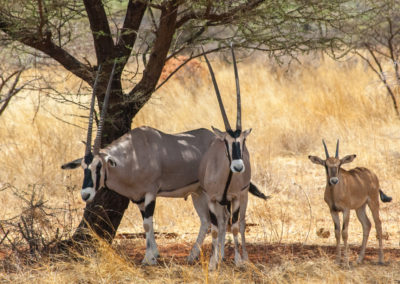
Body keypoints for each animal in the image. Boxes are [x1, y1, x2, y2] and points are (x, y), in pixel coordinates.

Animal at [62, 59, 268, 264]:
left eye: (98, 166)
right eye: (83, 167)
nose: (86, 194)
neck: (133, 154)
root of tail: (213, 137)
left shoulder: (150, 193)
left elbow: (148, 223)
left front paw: (149, 258)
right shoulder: (138, 198)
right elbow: (145, 223)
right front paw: (153, 254)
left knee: (220, 219)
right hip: (198, 193)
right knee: (211, 220)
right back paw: (198, 255)